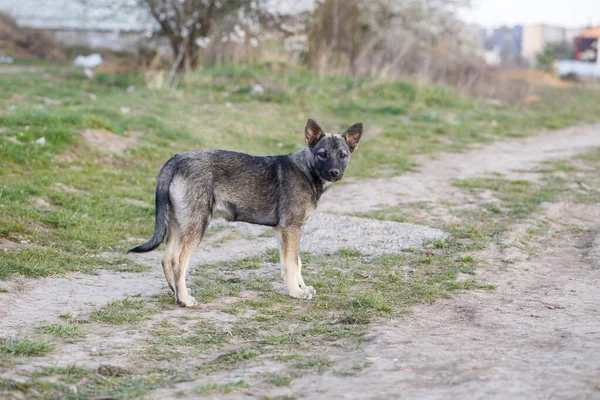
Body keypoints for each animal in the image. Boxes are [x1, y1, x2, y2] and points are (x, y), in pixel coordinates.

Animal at [129, 119, 364, 306]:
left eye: (343, 155)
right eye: (322, 155)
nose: (334, 172)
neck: (307, 170)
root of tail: (175, 160)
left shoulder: (284, 231)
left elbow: (294, 263)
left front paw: (300, 288)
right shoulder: (291, 228)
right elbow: (292, 263)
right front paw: (296, 292)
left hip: (178, 224)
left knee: (166, 258)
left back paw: (177, 293)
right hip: (196, 226)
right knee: (179, 261)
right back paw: (185, 300)